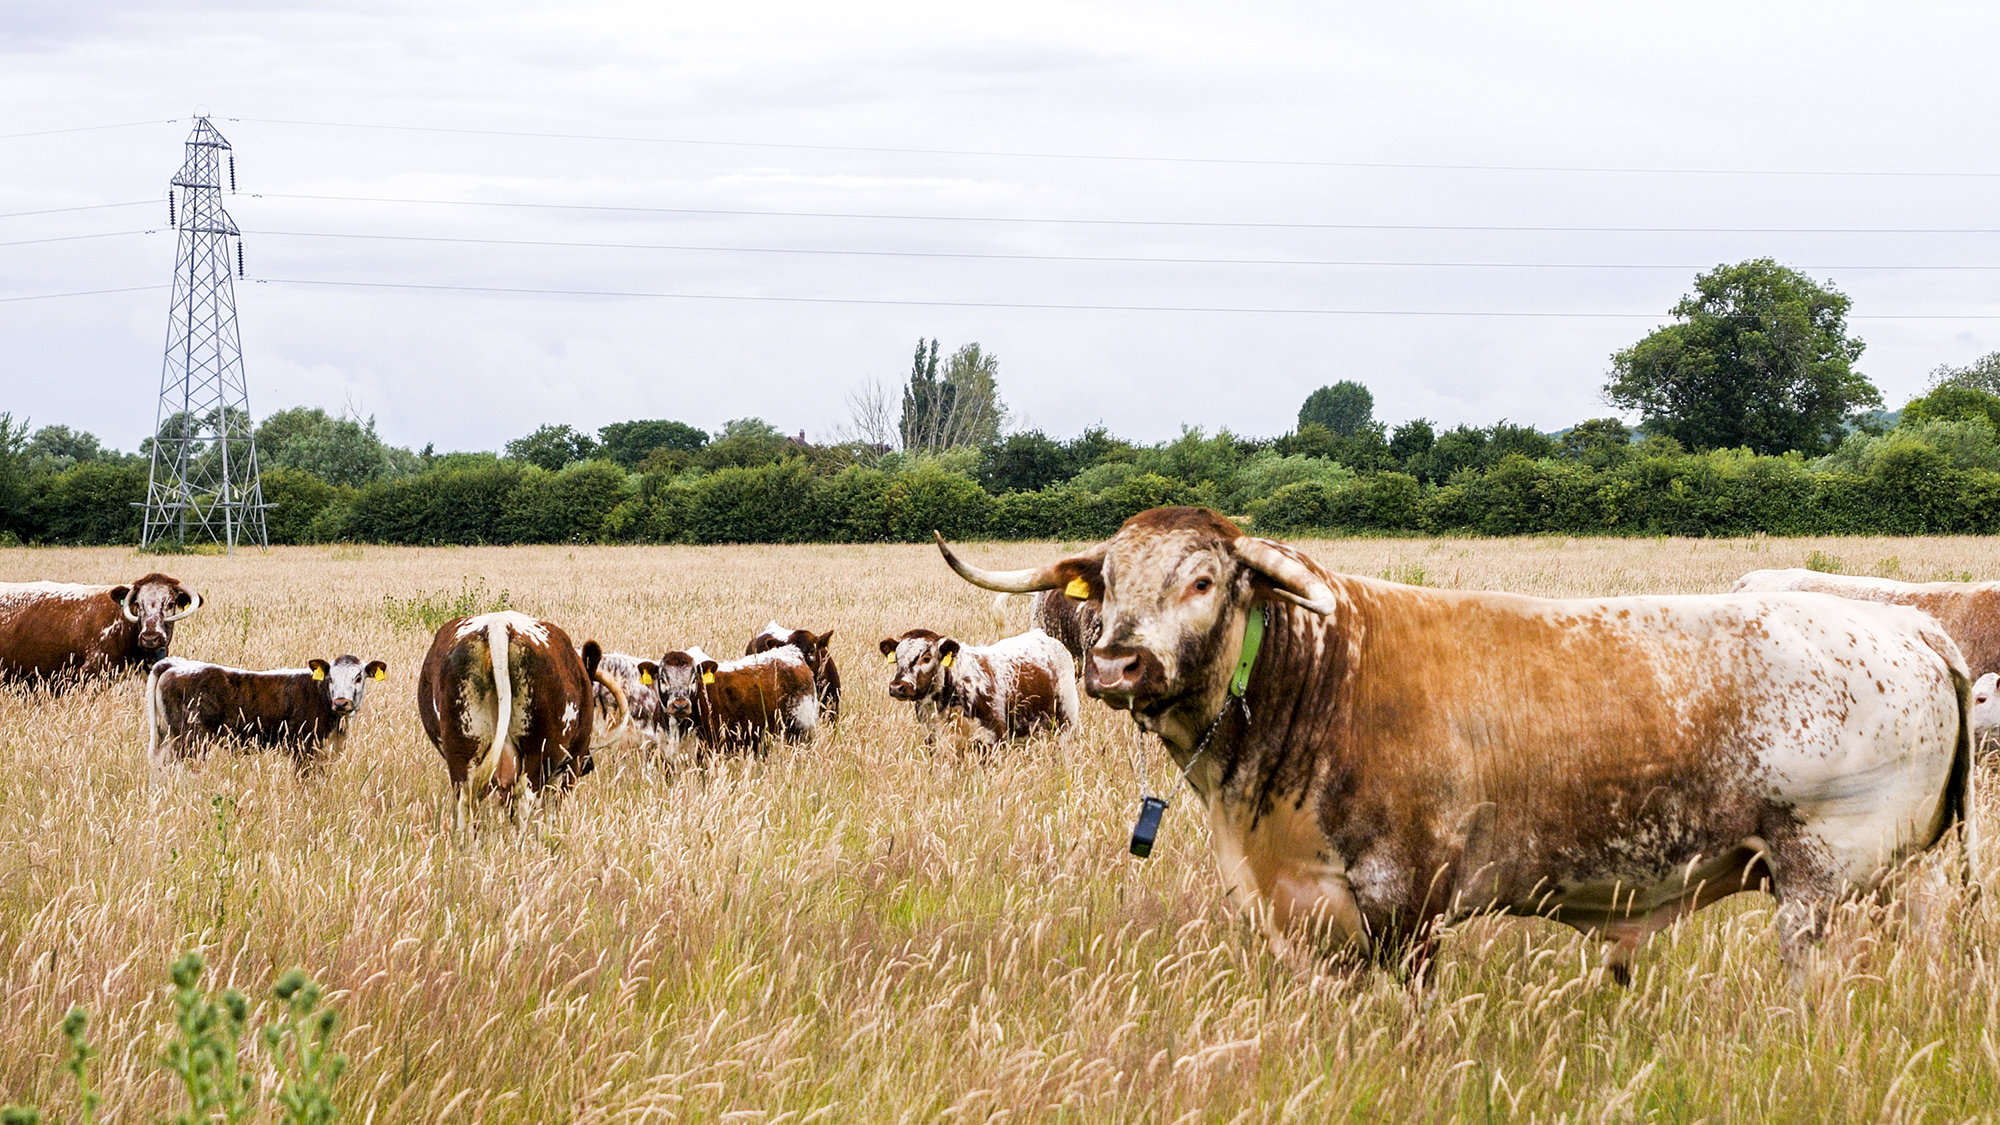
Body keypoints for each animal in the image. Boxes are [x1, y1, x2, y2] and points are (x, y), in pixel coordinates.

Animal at [146, 654, 387, 771]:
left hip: (167, 737)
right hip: (190, 740)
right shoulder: (303, 748)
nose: (341, 702)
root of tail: (177, 665)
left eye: (358, 677)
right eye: (331, 678)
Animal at [416, 611, 628, 828]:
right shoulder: (570, 763)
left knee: (466, 804)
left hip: (464, 752)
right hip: (539, 752)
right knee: (525, 801)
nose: (589, 765)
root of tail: (499, 625)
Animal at [642, 646, 816, 763]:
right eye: (663, 679)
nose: (680, 706)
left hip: (802, 731)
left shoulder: (707, 751)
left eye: (693, 679)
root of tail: (792, 653)